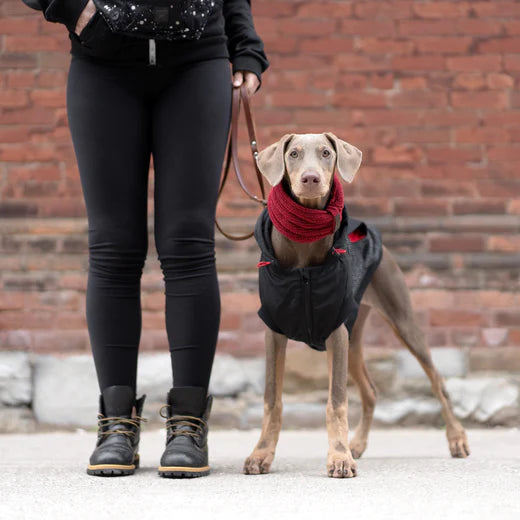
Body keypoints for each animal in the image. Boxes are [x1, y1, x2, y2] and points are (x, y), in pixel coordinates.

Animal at [244, 133, 472, 480]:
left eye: (326, 153)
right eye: (293, 154)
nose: (310, 179)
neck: (304, 251)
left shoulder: (336, 331)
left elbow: (336, 400)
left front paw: (338, 458)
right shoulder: (275, 330)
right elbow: (272, 399)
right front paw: (261, 453)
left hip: (398, 318)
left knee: (437, 381)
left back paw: (457, 439)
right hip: (352, 337)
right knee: (371, 391)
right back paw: (358, 444)